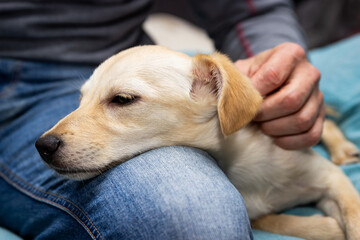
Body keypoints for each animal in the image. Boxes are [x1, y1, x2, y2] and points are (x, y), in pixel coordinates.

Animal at [35, 46, 360, 239]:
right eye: (80, 100)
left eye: (123, 99)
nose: (42, 146)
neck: (241, 164)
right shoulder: (256, 214)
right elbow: (279, 220)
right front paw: (326, 226)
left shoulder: (330, 178)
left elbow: (353, 213)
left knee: (327, 122)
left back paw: (343, 148)